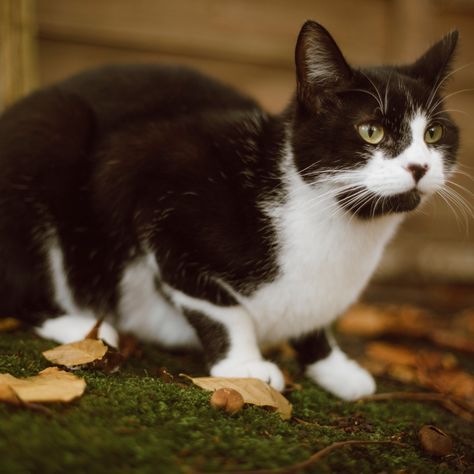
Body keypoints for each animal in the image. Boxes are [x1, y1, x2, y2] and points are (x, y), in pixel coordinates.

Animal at [0, 22, 460, 400]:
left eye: (434, 133)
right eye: (371, 131)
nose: (419, 167)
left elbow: (313, 318)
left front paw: (334, 367)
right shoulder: (154, 187)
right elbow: (222, 308)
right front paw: (244, 366)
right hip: (48, 135)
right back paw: (80, 327)